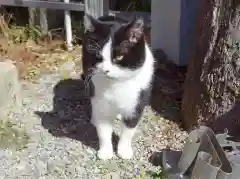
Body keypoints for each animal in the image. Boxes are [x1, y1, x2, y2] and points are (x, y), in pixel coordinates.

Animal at [81, 13, 155, 159]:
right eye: (97, 55)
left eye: (119, 57)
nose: (105, 70)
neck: (116, 83)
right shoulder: (100, 101)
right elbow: (103, 130)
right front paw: (105, 152)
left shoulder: (137, 101)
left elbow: (129, 129)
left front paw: (124, 151)